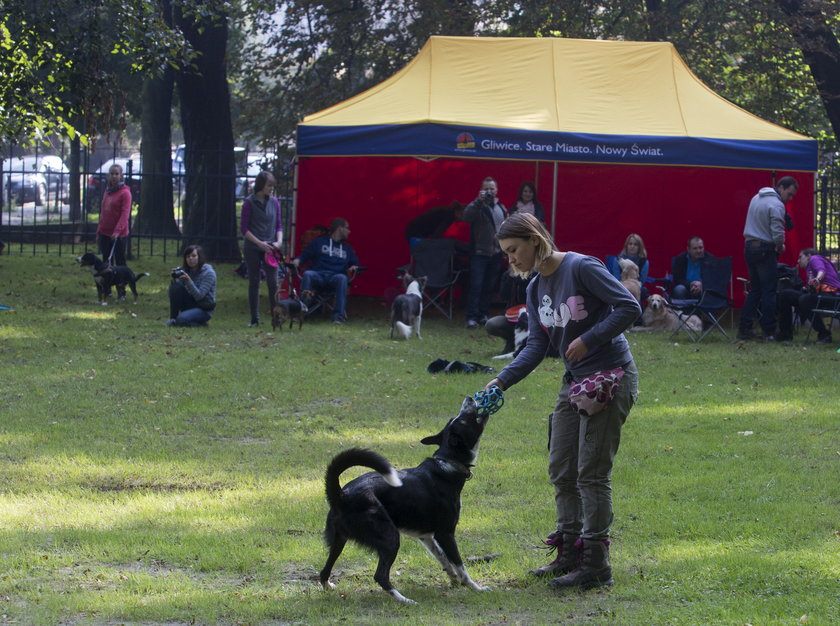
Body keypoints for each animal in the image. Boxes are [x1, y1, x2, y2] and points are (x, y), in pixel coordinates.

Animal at [322, 394, 492, 604]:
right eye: (462, 420)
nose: (469, 398)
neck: (447, 464)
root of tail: (341, 495)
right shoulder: (445, 534)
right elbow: (461, 566)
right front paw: (476, 588)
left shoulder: (426, 536)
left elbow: (443, 559)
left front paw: (453, 579)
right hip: (390, 537)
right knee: (380, 576)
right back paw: (405, 600)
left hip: (339, 541)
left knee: (324, 572)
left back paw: (328, 586)